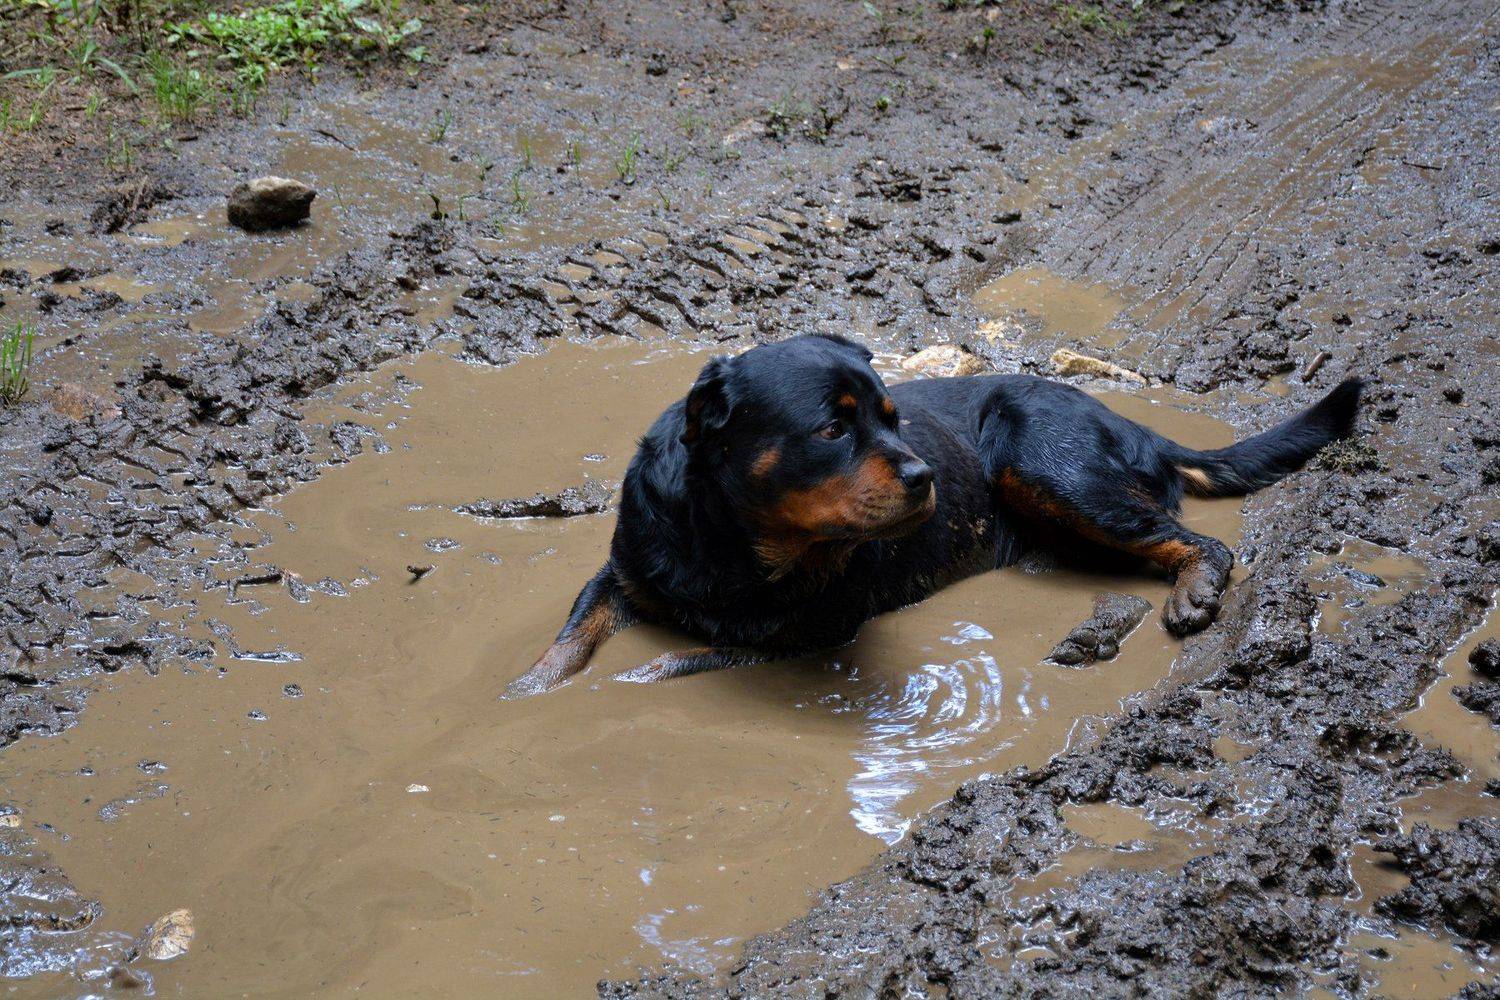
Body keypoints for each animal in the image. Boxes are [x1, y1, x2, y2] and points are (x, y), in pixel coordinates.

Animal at [504, 334, 1361, 697]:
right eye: (833, 429)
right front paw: (528, 687)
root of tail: (1134, 423)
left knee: (1194, 538)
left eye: (895, 419)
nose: (922, 475)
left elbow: (677, 660)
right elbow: (572, 635)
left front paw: (630, 676)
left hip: (1046, 461)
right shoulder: (623, 572)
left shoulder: (812, 632)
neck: (730, 539)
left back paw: (1193, 586)